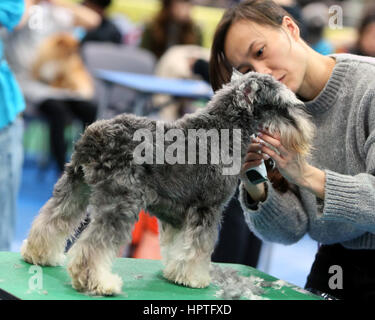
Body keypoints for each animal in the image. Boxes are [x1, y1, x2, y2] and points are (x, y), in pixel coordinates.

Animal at [19, 70, 314, 296]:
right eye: (284, 105)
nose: (306, 128)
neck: (225, 128)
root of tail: (96, 134)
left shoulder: (177, 213)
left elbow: (178, 246)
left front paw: (175, 273)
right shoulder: (207, 208)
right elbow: (198, 249)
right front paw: (194, 278)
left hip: (74, 188)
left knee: (52, 220)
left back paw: (39, 255)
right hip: (121, 205)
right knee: (94, 247)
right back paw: (98, 283)